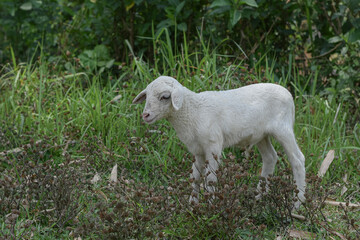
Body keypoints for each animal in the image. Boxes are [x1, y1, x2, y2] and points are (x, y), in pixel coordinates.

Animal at [134, 75, 306, 208]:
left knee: (298, 160)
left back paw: (297, 204)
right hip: (261, 135)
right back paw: (259, 197)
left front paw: (211, 207)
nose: (145, 115)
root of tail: (289, 95)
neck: (192, 111)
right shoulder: (198, 150)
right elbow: (195, 176)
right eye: (147, 96)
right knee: (270, 157)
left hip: (283, 128)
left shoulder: (213, 145)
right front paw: (192, 205)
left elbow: (210, 178)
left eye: (165, 97)